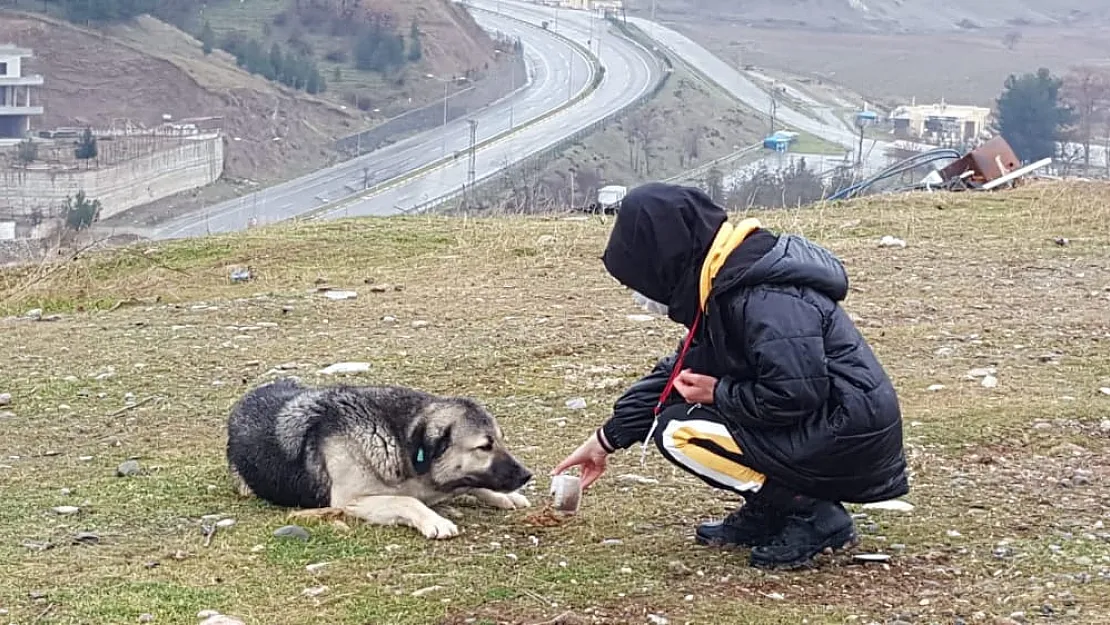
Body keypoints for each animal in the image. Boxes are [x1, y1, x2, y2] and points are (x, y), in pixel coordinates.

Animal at [224, 379, 532, 539]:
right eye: (484, 446)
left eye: (500, 440)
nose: (527, 475)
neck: (398, 439)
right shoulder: (350, 501)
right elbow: (406, 500)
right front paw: (434, 520)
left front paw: (504, 496)